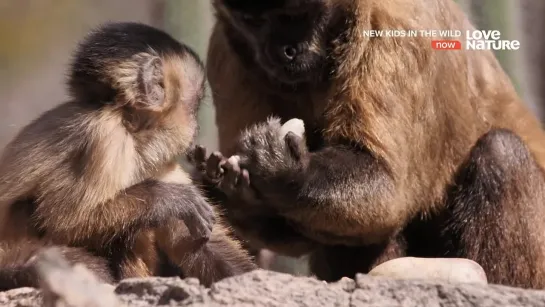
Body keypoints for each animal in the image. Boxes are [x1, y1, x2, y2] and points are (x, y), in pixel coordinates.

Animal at [0, 21, 255, 292]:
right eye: (194, 106)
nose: (195, 127)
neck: (130, 127)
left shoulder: (159, 162)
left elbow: (196, 242)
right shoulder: (105, 137)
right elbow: (62, 220)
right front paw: (170, 199)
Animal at [192, 0, 545, 290]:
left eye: (294, 16)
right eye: (253, 22)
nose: (283, 50)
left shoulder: (396, 27)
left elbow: (387, 189)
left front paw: (285, 171)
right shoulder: (225, 52)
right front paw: (235, 195)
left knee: (501, 153)